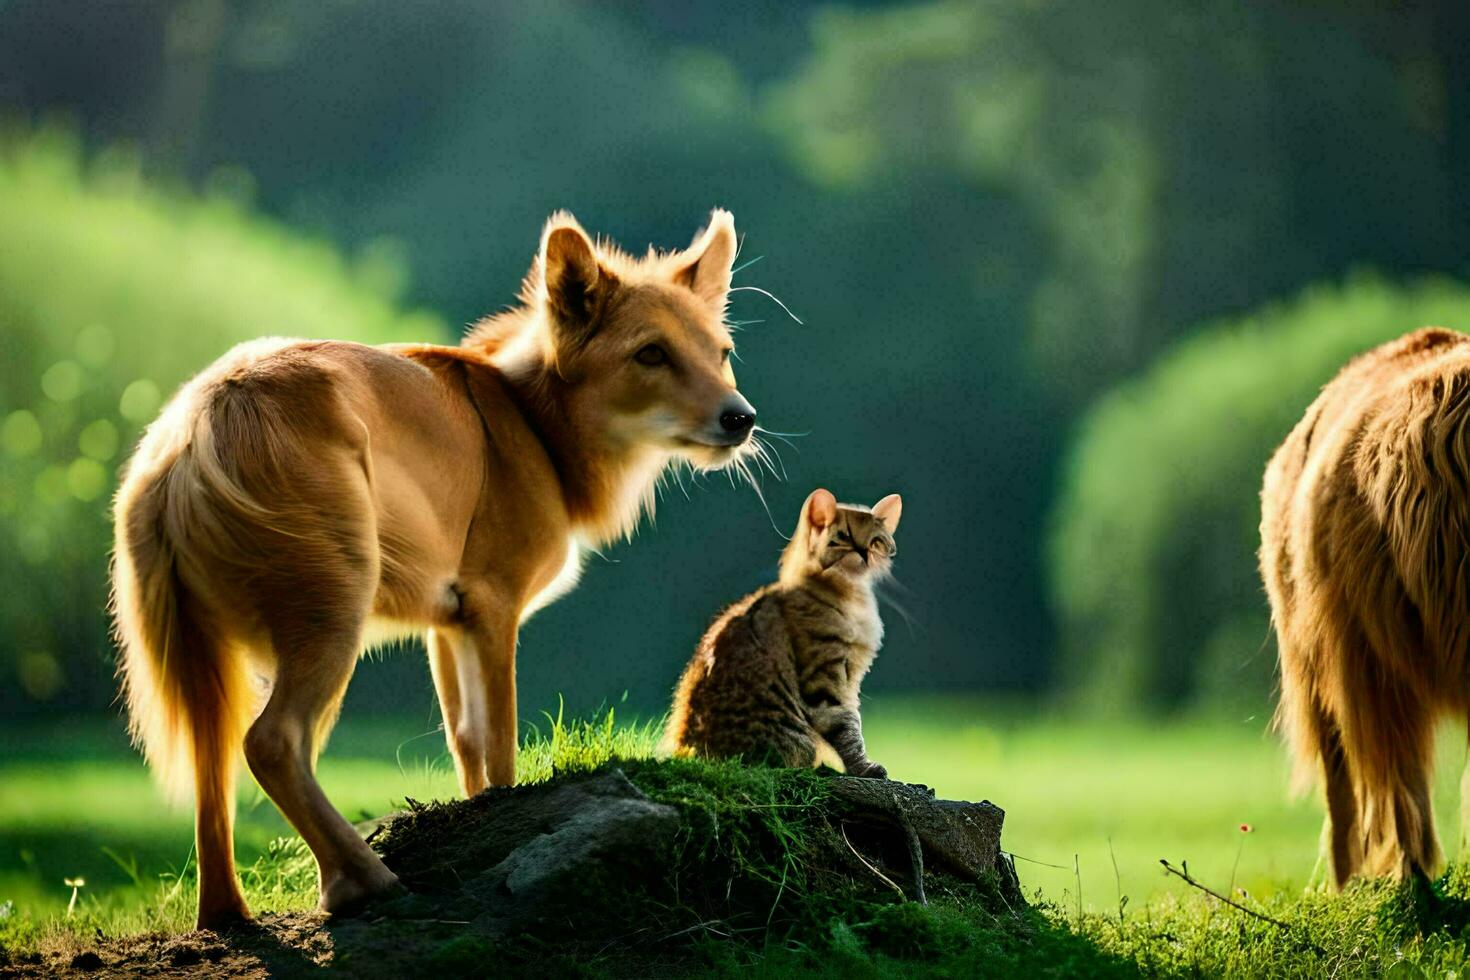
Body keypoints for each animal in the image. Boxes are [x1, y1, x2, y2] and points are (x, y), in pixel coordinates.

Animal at [111, 211, 758, 934]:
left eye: (721, 352)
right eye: (651, 354)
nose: (741, 418)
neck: (532, 424)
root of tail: (198, 424)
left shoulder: (447, 624)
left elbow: (467, 742)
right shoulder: (494, 607)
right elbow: (499, 743)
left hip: (204, 656)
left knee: (216, 766)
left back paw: (228, 913)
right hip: (331, 613)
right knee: (274, 744)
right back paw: (364, 881)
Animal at [664, 490, 893, 781]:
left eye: (877, 542)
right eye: (844, 538)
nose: (865, 555)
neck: (853, 599)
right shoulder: (828, 682)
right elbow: (849, 731)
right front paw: (866, 769)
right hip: (798, 740)